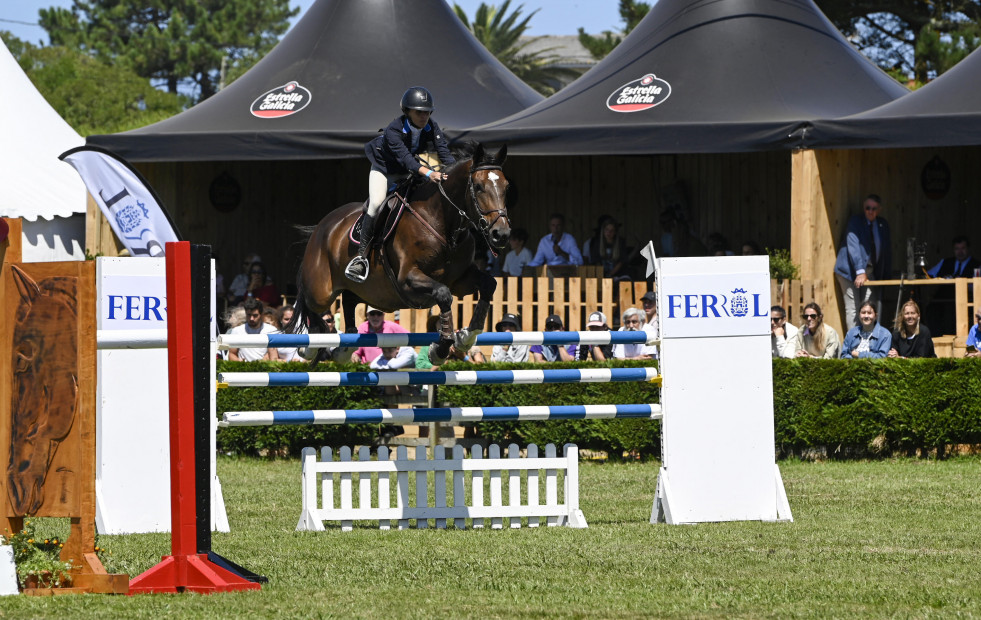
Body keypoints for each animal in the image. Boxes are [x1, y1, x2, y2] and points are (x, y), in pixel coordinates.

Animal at [284, 143, 510, 364]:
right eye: (478, 187)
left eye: (507, 187)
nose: (501, 234)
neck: (443, 225)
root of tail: (323, 226)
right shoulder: (407, 280)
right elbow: (443, 294)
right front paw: (441, 348)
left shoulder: (460, 280)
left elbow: (489, 284)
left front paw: (466, 337)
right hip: (321, 290)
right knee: (310, 304)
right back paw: (308, 347)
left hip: (363, 289)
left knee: (348, 300)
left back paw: (344, 350)